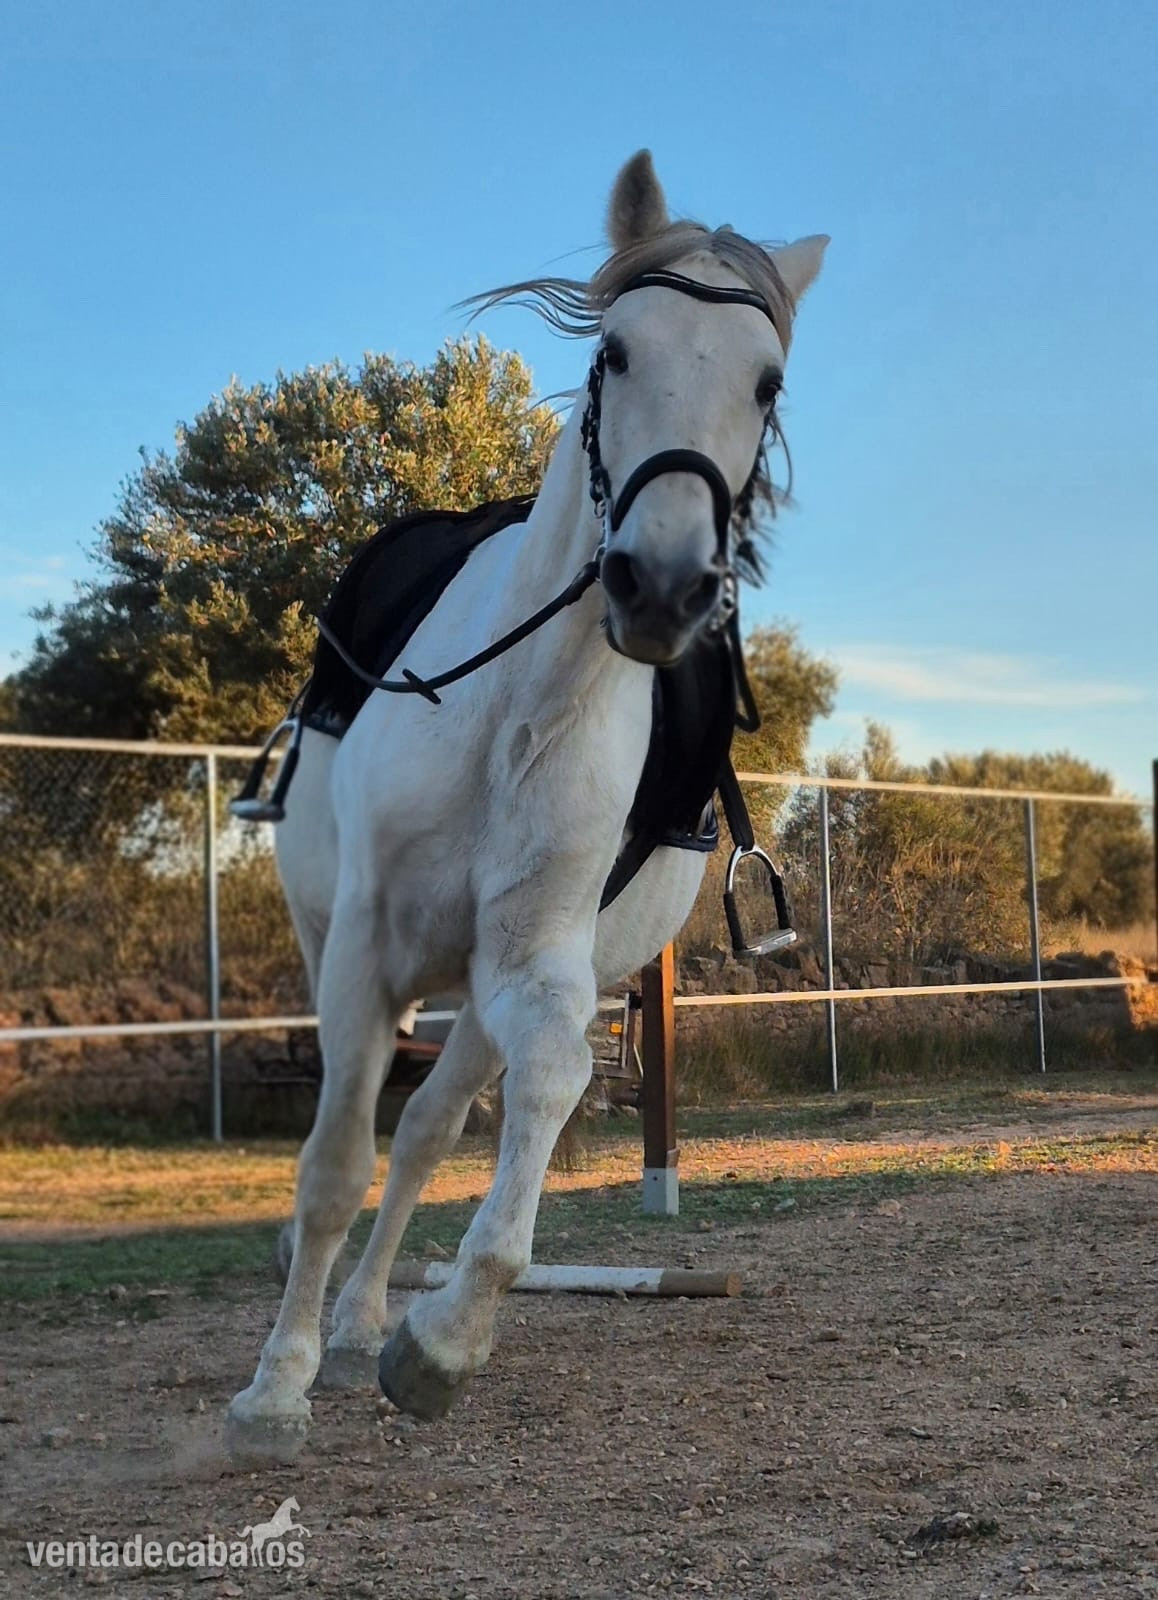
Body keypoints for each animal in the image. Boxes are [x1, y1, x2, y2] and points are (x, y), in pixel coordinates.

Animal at [226, 150, 827, 1465]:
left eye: (766, 383)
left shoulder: (538, 965)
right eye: (615, 351)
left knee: (428, 1128)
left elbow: (529, 1100)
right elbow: (330, 1162)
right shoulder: (364, 951)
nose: (660, 585)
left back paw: (363, 1320)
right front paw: (272, 1393)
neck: (517, 708)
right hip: (333, 935)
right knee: (361, 1138)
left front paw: (437, 1343)